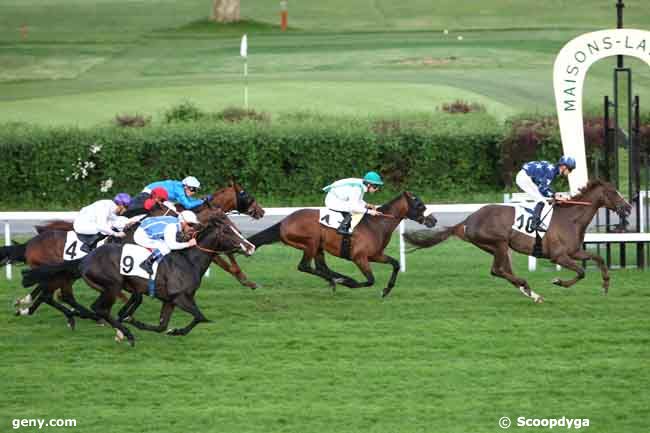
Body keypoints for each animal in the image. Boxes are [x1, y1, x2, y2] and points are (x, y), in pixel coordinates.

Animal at [22, 212, 246, 344]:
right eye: (228, 231)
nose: (248, 245)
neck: (188, 260)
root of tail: (86, 258)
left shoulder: (169, 300)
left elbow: (163, 325)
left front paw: (145, 324)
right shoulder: (180, 297)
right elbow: (200, 316)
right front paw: (173, 330)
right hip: (112, 285)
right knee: (98, 308)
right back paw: (123, 332)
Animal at [248, 192, 436, 296]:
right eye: (420, 205)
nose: (433, 220)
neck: (376, 224)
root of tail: (284, 222)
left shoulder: (375, 255)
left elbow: (396, 264)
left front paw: (387, 290)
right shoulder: (359, 257)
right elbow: (370, 280)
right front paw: (351, 283)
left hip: (318, 247)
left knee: (321, 267)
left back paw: (336, 279)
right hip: (310, 242)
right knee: (305, 266)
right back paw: (340, 280)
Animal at [402, 177, 632, 302]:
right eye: (613, 192)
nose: (628, 207)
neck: (570, 218)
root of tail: (467, 220)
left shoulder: (574, 252)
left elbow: (598, 259)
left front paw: (606, 284)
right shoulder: (558, 256)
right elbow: (581, 272)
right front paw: (558, 281)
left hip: (497, 248)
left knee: (503, 270)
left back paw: (531, 293)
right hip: (499, 243)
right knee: (497, 270)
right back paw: (526, 285)